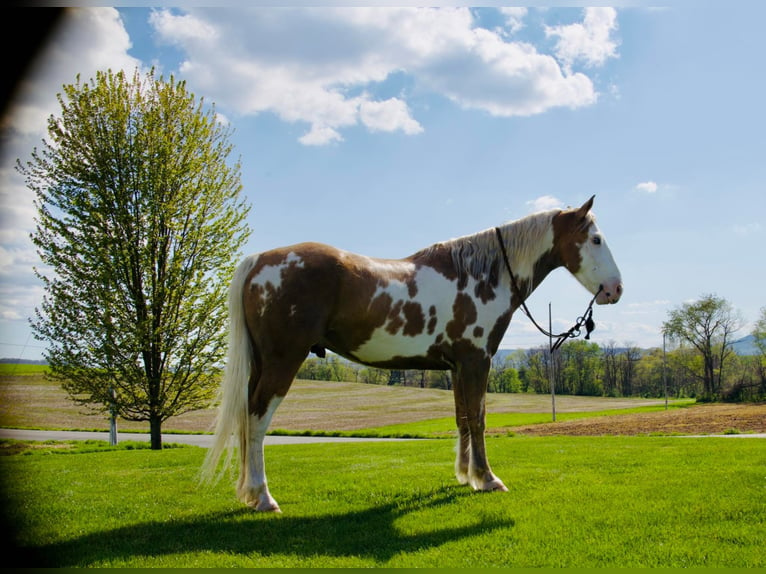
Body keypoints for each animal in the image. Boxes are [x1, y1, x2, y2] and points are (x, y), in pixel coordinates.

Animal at [202, 195, 624, 512]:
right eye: (596, 239)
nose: (615, 289)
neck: (481, 275)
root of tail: (258, 261)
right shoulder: (477, 361)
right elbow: (479, 419)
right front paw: (488, 479)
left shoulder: (457, 367)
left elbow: (462, 419)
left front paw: (465, 476)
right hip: (282, 361)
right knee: (256, 420)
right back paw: (263, 498)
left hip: (262, 363)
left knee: (245, 419)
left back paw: (247, 493)